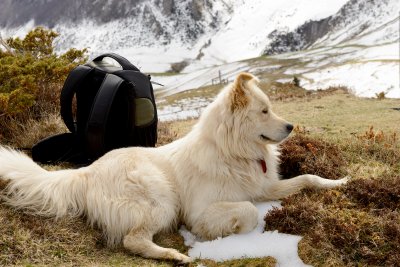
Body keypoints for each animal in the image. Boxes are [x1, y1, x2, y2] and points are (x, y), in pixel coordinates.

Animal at [0, 73, 346, 264]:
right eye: (264, 111)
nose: (290, 126)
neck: (232, 151)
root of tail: (86, 172)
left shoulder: (264, 186)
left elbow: (308, 177)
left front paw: (339, 182)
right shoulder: (202, 209)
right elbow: (247, 211)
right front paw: (221, 234)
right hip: (159, 199)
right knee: (133, 239)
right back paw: (174, 255)